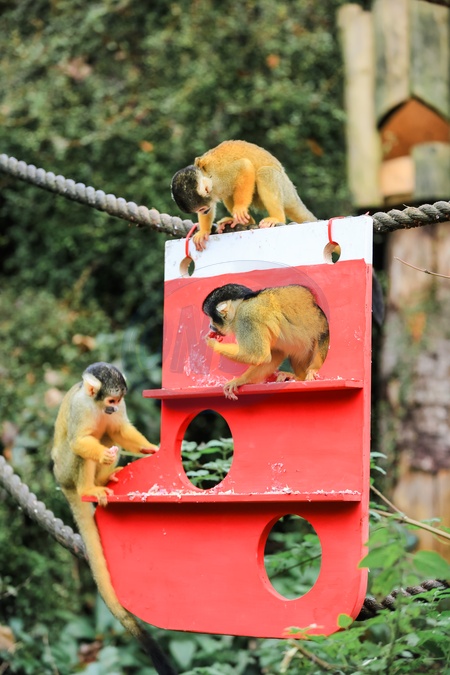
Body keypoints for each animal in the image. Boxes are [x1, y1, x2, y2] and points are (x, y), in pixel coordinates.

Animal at [52, 363, 175, 675]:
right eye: (110, 400)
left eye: (118, 400)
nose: (114, 408)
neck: (96, 405)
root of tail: (63, 484)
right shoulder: (81, 407)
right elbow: (81, 441)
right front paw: (104, 455)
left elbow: (119, 429)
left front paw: (151, 448)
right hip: (65, 471)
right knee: (79, 449)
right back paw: (90, 487)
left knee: (108, 433)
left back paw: (106, 477)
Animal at [171, 140, 316, 251]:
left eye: (201, 209)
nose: (203, 212)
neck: (210, 179)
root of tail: (292, 189)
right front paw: (204, 231)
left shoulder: (221, 176)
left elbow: (245, 167)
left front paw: (240, 208)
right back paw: (246, 222)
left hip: (283, 188)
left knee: (265, 173)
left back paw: (276, 218)